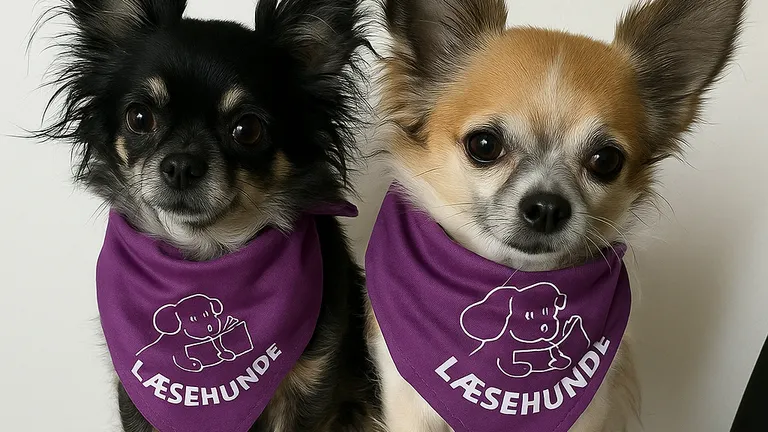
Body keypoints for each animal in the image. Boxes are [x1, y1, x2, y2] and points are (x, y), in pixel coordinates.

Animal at [38, 0, 379, 430]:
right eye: (139, 118)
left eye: (247, 129)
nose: (181, 165)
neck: (205, 256)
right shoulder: (131, 393)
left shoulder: (311, 388)